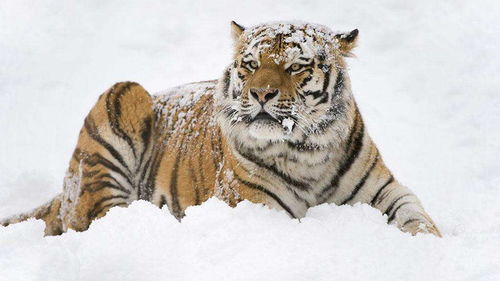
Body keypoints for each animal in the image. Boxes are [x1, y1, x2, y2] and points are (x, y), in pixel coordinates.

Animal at [0, 21, 440, 236]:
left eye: (295, 66)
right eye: (250, 64)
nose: (260, 93)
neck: (306, 152)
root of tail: (63, 191)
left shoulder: (385, 190)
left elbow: (417, 217)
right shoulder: (255, 205)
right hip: (123, 94)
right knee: (93, 221)